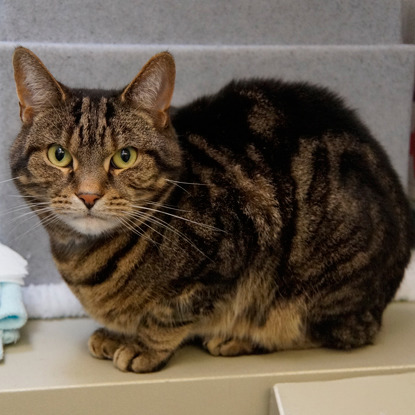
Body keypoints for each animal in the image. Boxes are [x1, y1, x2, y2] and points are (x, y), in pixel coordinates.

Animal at [9, 46, 412, 374]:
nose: (89, 195)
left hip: (319, 280)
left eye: (125, 157)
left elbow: (171, 314)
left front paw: (142, 345)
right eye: (59, 155)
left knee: (338, 330)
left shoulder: (231, 256)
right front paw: (115, 334)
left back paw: (241, 338)